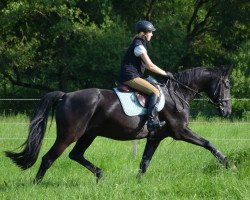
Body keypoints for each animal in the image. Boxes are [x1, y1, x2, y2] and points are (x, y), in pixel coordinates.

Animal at [4, 65, 234, 183]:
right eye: (227, 85)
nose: (227, 111)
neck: (177, 94)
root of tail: (66, 95)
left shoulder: (156, 138)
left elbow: (145, 162)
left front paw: (138, 183)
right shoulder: (181, 131)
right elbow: (208, 144)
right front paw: (229, 164)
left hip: (88, 135)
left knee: (75, 155)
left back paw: (100, 176)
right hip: (69, 135)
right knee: (49, 158)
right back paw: (36, 185)